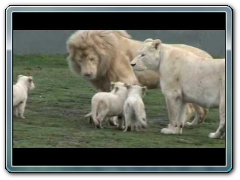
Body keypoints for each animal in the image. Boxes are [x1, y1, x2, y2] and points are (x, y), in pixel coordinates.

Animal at [65, 29, 210, 125]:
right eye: (79, 60)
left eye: (92, 58)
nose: (87, 74)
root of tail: (207, 55)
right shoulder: (105, 82)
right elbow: (107, 97)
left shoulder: (126, 78)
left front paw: (114, 120)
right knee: (201, 110)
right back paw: (192, 124)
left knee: (190, 109)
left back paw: (180, 124)